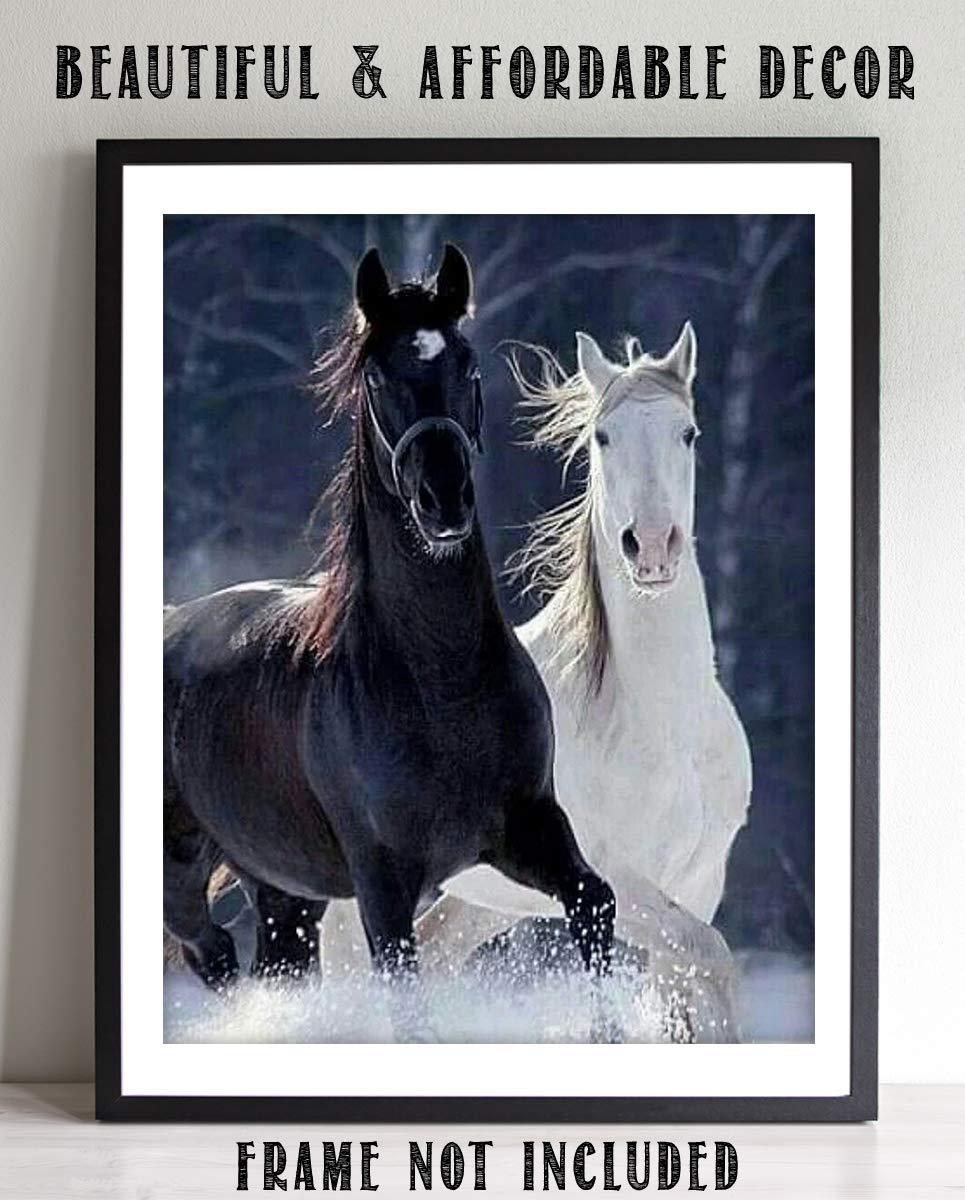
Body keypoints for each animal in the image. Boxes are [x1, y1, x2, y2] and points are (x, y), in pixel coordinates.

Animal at [162, 245, 615, 1038]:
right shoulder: (382, 883)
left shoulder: (528, 826)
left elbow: (594, 905)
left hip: (284, 888)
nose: (443, 500)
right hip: (181, 876)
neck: (440, 683)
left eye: (466, 363)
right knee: (213, 955)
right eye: (377, 377)